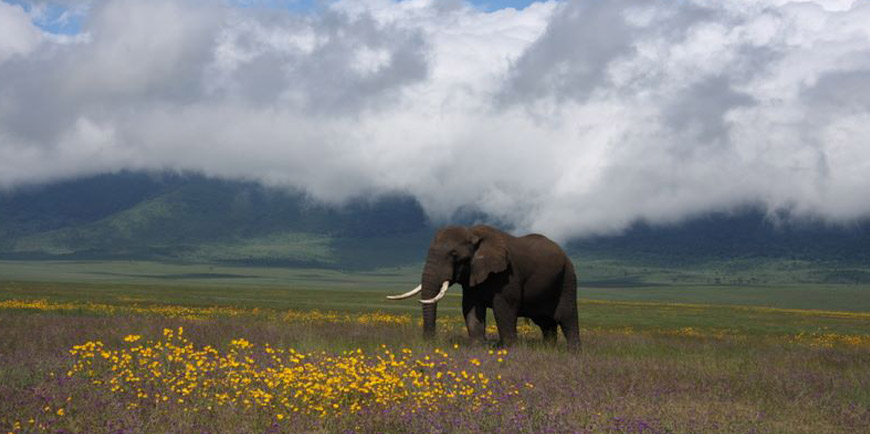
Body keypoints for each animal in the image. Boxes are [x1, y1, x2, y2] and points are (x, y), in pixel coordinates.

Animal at [386, 225, 580, 350]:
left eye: (454, 255)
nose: (429, 343)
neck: (473, 233)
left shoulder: (508, 274)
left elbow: (504, 309)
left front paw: (509, 350)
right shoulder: (472, 276)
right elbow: (471, 308)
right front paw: (478, 348)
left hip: (568, 278)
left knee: (566, 317)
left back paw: (572, 353)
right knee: (546, 323)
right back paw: (548, 350)